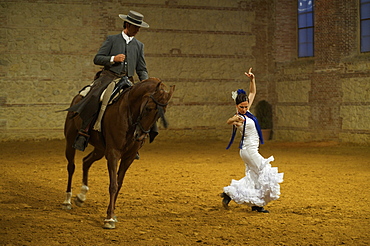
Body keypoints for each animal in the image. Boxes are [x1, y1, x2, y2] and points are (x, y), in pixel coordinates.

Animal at [61, 77, 175, 229]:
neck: (129, 114)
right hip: (70, 140)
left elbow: (119, 183)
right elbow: (113, 185)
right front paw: (109, 218)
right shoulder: (113, 154)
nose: (140, 136)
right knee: (71, 167)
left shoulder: (128, 157)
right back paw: (67, 200)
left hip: (100, 149)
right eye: (148, 108)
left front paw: (113, 214)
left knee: (86, 162)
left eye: (162, 113)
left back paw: (81, 196)